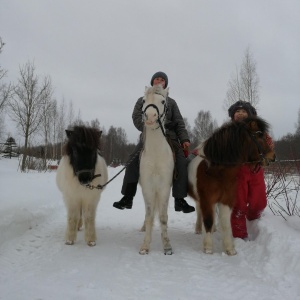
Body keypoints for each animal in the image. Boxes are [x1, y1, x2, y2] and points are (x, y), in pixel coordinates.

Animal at [189, 117, 276, 255]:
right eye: (259, 135)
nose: (273, 156)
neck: (215, 171)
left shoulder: (226, 200)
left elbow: (225, 223)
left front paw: (229, 249)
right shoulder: (207, 200)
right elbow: (207, 220)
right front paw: (208, 248)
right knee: (200, 212)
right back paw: (198, 229)